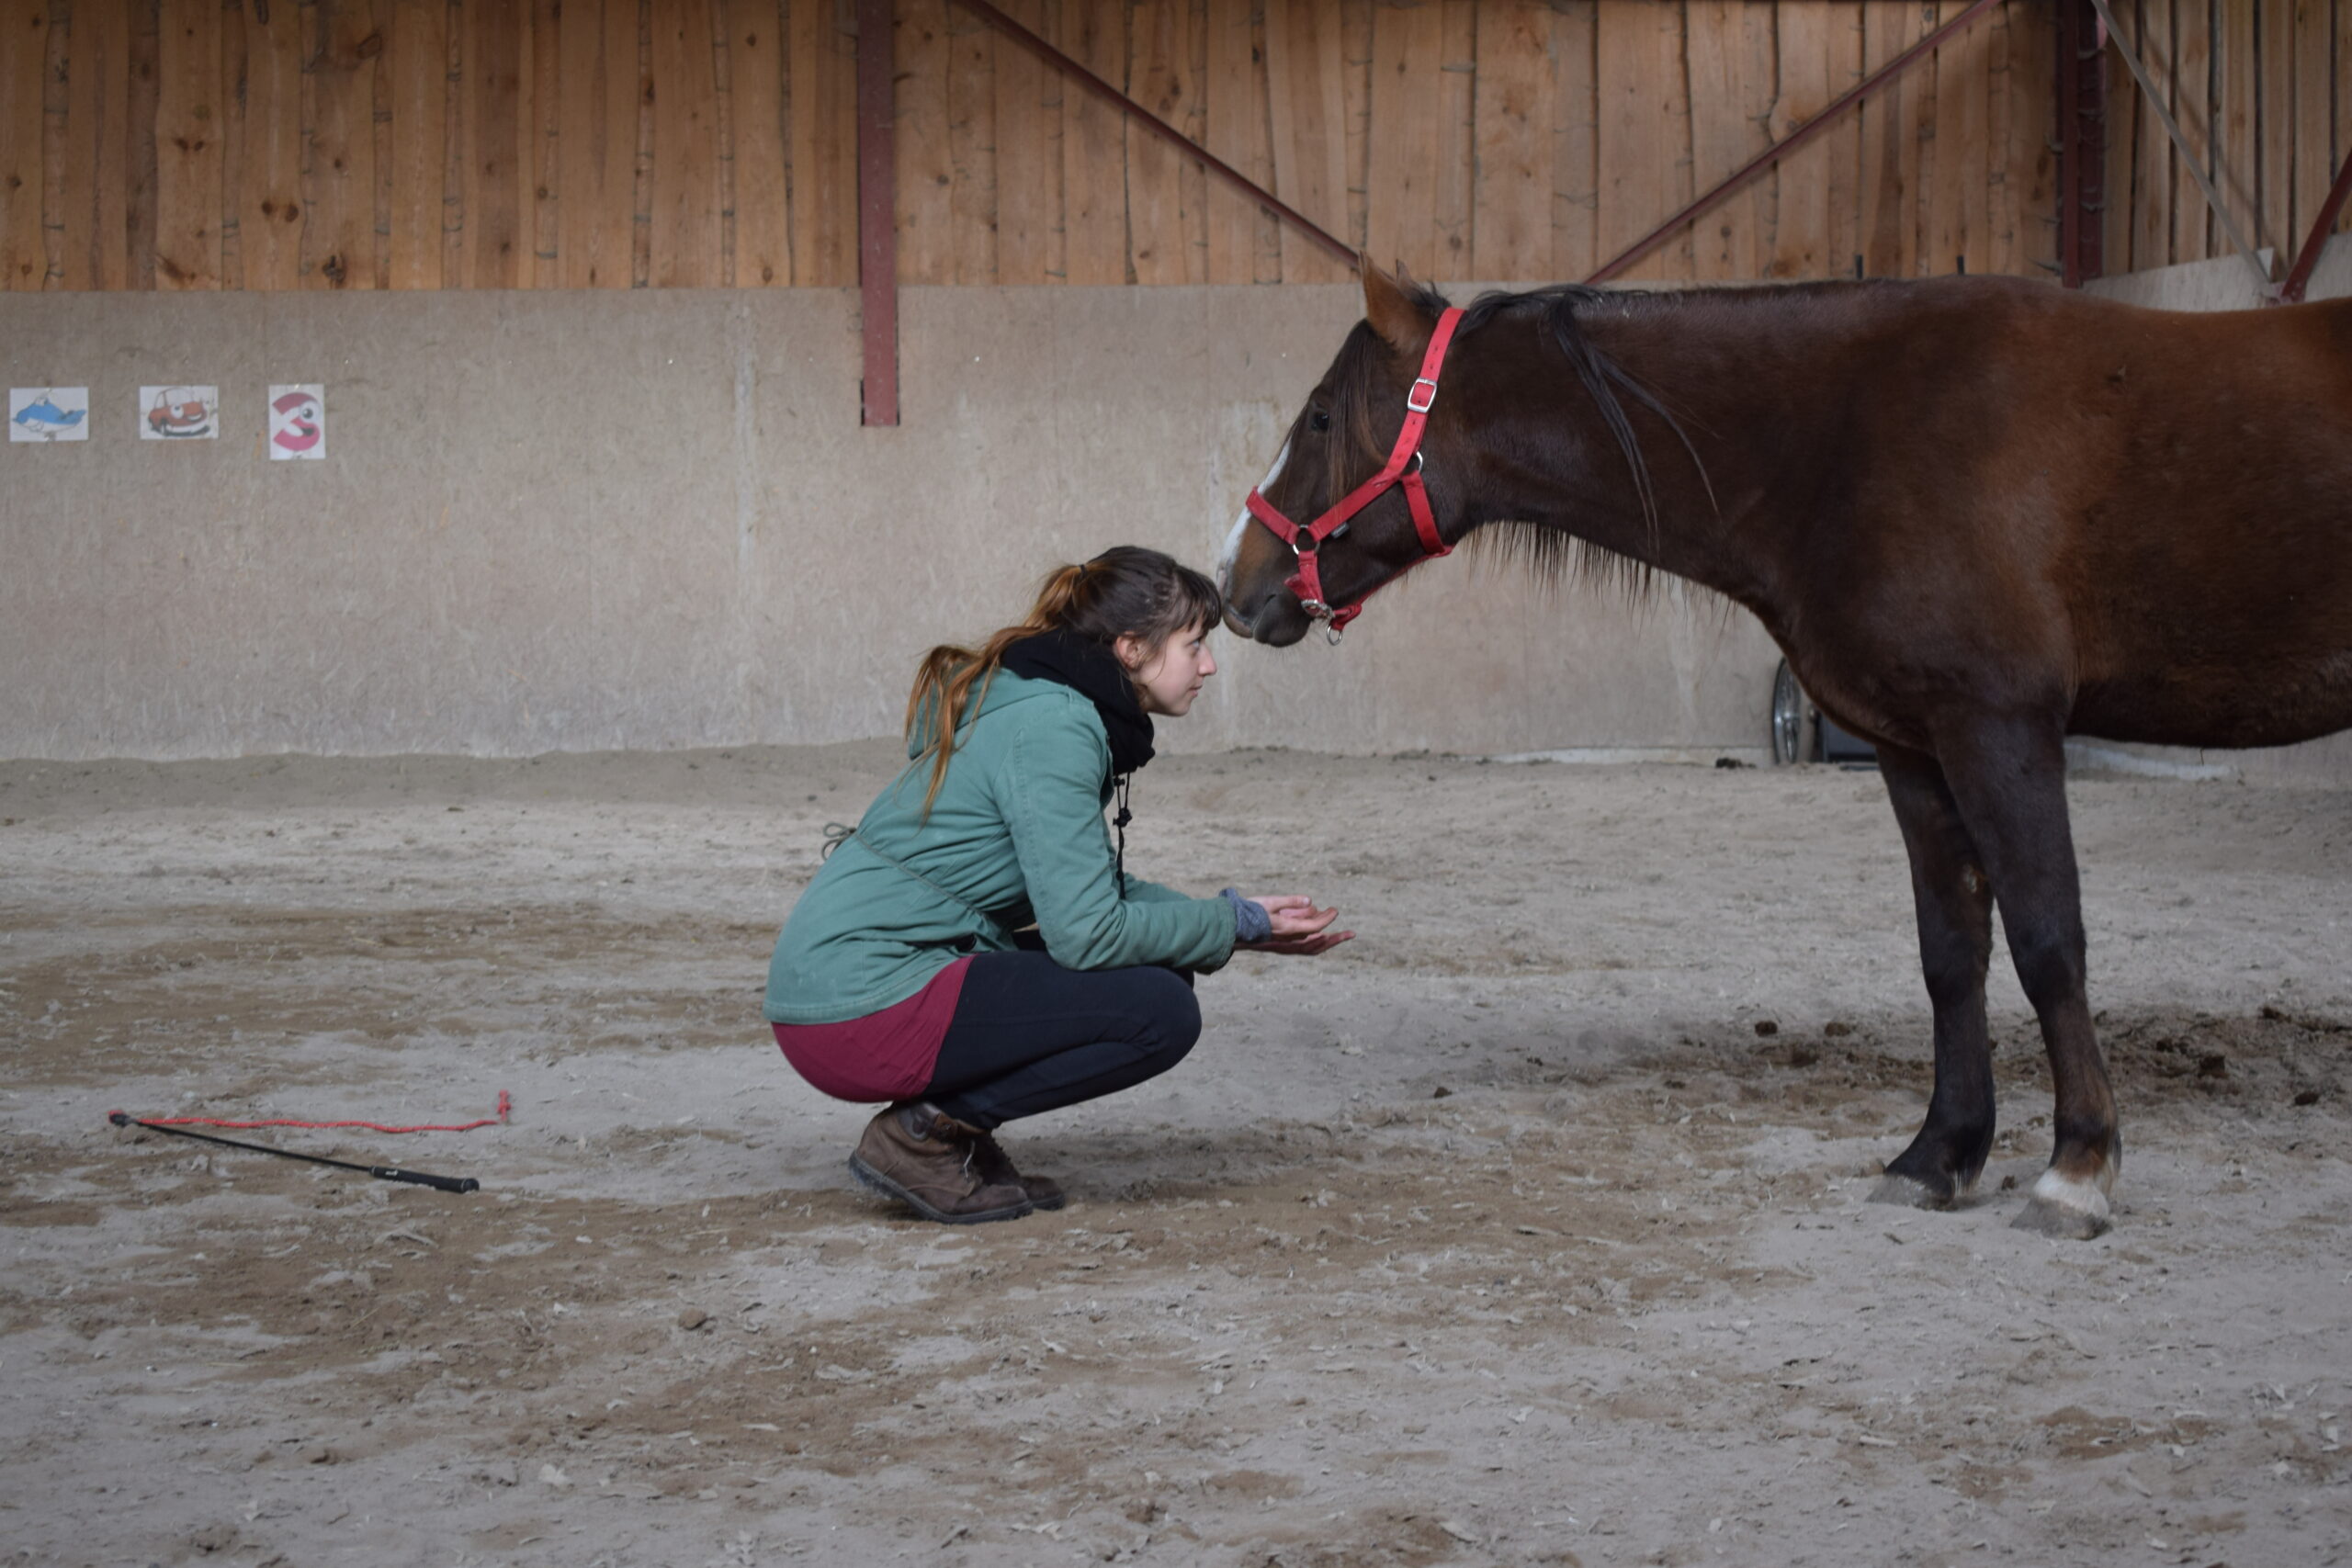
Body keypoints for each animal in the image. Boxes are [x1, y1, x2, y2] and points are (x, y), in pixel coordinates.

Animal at [1223, 263, 2352, 1241]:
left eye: (1320, 418)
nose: (1238, 584)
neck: (1856, 431)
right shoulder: (1912, 745)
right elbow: (1952, 951)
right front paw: (1938, 1156)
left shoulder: (1999, 726)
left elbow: (2046, 941)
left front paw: (2077, 1170)